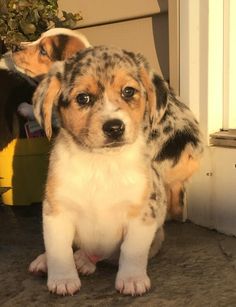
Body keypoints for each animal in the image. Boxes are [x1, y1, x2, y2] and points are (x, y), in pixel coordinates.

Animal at [28, 45, 203, 296]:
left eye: (128, 91)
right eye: (83, 98)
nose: (114, 127)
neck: (101, 164)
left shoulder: (142, 215)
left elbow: (131, 251)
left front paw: (132, 280)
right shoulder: (57, 211)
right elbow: (58, 249)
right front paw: (62, 279)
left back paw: (84, 260)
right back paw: (46, 262)